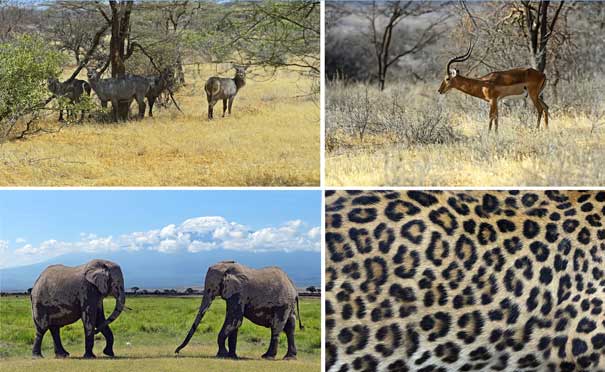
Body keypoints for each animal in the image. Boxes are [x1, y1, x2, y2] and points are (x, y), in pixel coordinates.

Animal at [176, 260, 304, 358]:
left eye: (210, 289)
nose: (176, 352)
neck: (226, 268)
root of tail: (294, 288)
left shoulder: (238, 293)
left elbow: (235, 320)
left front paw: (222, 354)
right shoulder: (233, 295)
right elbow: (234, 323)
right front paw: (232, 356)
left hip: (283, 305)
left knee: (277, 326)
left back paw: (268, 357)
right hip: (289, 304)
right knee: (290, 326)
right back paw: (289, 357)